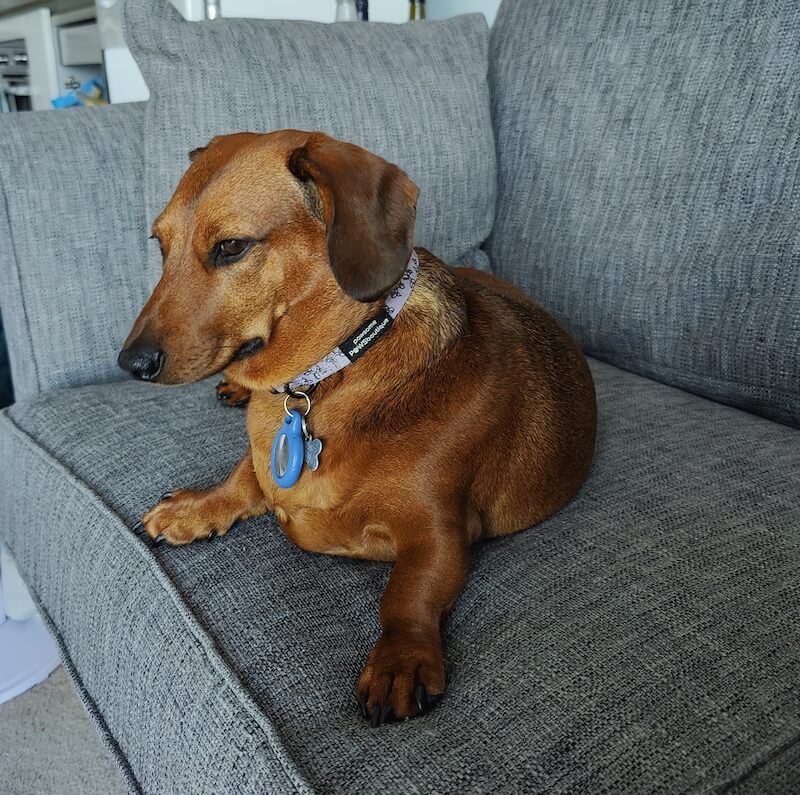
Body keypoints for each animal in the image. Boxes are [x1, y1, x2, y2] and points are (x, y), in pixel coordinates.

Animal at [117, 129, 592, 728]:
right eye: (160, 245)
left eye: (231, 247)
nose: (130, 364)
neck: (328, 373)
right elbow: (244, 477)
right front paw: (196, 507)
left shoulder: (440, 531)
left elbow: (407, 595)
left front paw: (400, 659)